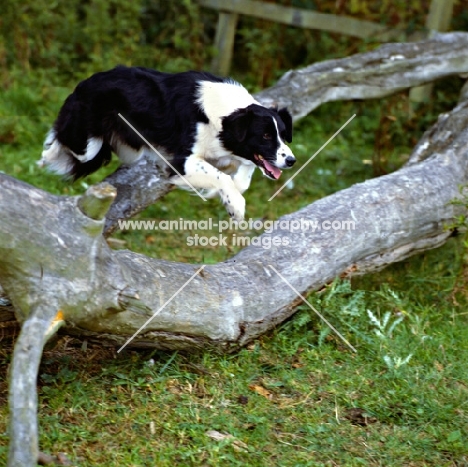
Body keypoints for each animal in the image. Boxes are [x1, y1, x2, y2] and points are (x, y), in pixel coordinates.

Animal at [40, 66, 296, 221]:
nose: (292, 161)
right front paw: (235, 206)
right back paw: (45, 160)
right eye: (265, 136)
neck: (225, 115)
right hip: (89, 142)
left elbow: (242, 176)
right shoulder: (182, 161)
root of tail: (84, 83)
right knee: (63, 144)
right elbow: (223, 177)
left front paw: (225, 194)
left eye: (284, 135)